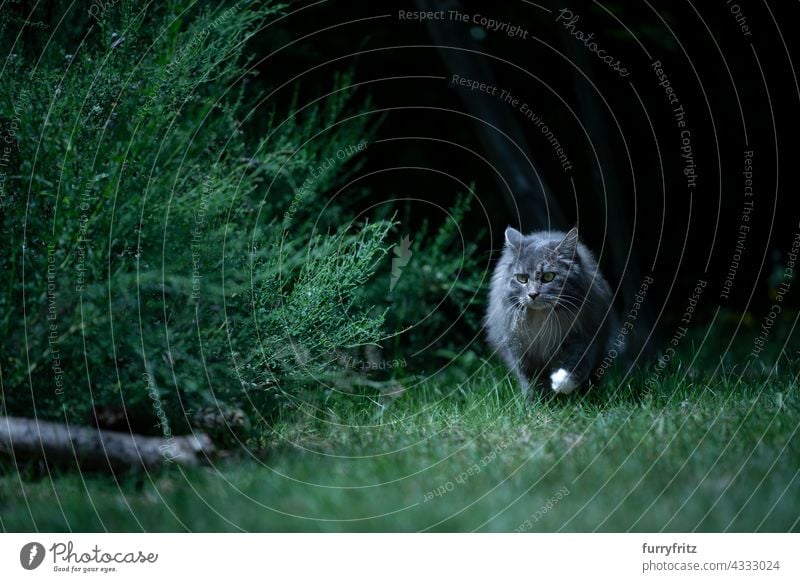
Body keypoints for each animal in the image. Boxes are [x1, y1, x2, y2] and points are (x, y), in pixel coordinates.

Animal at [484, 226, 616, 394]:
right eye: (522, 279)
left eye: (548, 277)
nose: (533, 294)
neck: (540, 318)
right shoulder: (518, 348)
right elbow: (530, 381)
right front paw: (536, 399)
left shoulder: (586, 335)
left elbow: (577, 363)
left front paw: (560, 383)